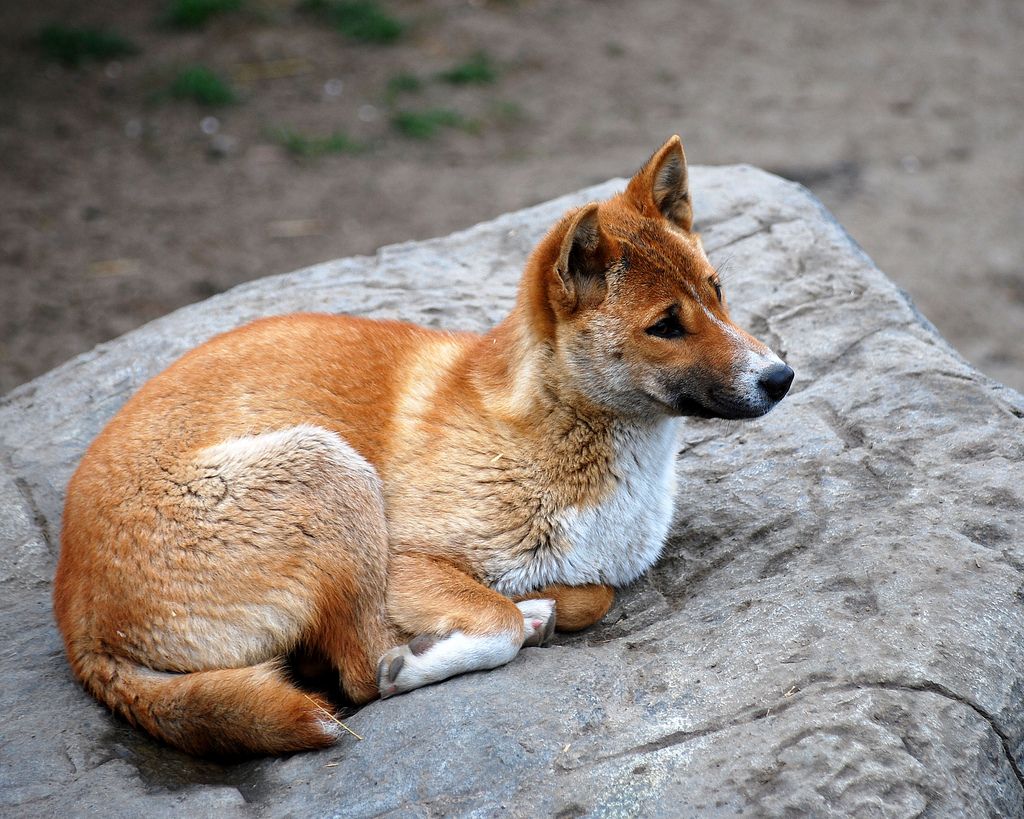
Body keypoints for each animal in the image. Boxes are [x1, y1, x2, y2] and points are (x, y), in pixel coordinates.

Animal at [54, 134, 790, 753]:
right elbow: (492, 621)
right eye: (666, 325)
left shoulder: (586, 573)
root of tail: (77, 616)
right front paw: (456, 642)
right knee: (357, 671)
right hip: (332, 474)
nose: (781, 377)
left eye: (717, 292)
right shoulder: (405, 562)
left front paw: (543, 608)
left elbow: (590, 595)